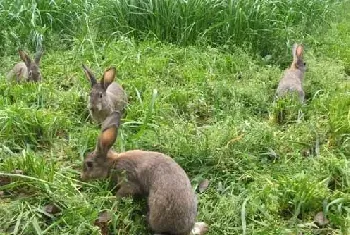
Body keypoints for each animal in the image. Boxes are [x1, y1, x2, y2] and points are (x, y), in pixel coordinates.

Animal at [80, 112, 208, 235]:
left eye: (89, 164)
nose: (82, 177)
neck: (113, 163)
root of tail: (184, 230)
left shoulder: (127, 179)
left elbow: (123, 192)